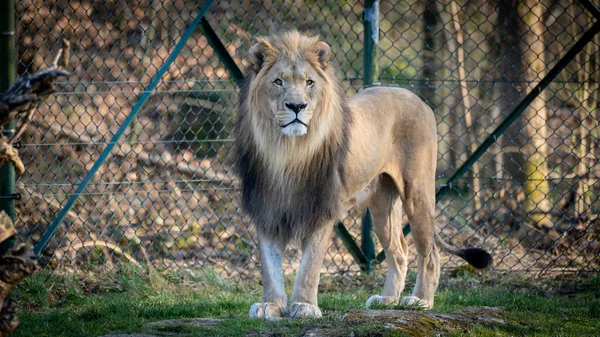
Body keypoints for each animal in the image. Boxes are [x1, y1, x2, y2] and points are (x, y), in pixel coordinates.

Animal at [234, 30, 492, 318]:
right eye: (278, 81)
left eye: (309, 82)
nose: (297, 106)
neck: (287, 152)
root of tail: (417, 98)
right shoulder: (265, 206)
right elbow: (270, 267)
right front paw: (271, 305)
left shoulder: (322, 209)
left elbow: (309, 266)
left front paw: (304, 305)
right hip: (382, 204)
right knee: (399, 251)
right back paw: (387, 300)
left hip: (418, 192)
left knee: (430, 252)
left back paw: (420, 300)